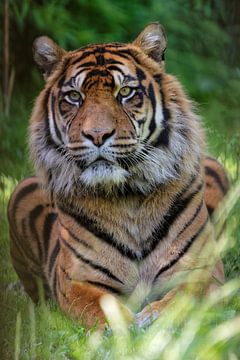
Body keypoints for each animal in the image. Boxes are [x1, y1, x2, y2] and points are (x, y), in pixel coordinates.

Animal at [7, 21, 229, 328]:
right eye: (74, 97)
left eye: (125, 92)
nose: (97, 135)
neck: (127, 197)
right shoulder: (76, 281)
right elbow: (100, 305)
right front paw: (125, 327)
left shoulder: (203, 271)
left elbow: (184, 299)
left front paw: (154, 317)